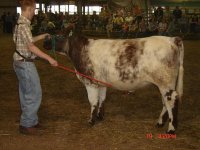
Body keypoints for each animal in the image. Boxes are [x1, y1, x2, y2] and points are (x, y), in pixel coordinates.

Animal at [56, 34, 184, 134]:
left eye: (59, 37)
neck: (83, 50)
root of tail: (172, 39)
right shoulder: (101, 83)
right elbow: (102, 99)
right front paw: (100, 116)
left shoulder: (90, 82)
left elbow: (93, 102)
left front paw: (91, 121)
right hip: (164, 84)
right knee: (165, 101)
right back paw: (160, 122)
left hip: (165, 82)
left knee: (171, 99)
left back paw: (171, 129)